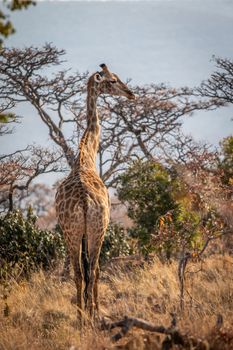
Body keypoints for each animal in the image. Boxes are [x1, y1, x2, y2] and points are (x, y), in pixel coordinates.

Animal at [55, 64, 135, 324]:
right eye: (113, 80)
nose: (131, 94)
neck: (86, 157)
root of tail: (83, 201)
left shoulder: (79, 233)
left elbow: (86, 271)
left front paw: (89, 311)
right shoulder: (103, 226)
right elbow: (97, 270)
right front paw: (97, 311)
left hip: (71, 232)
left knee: (79, 272)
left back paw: (81, 316)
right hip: (97, 228)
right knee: (94, 268)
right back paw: (90, 314)